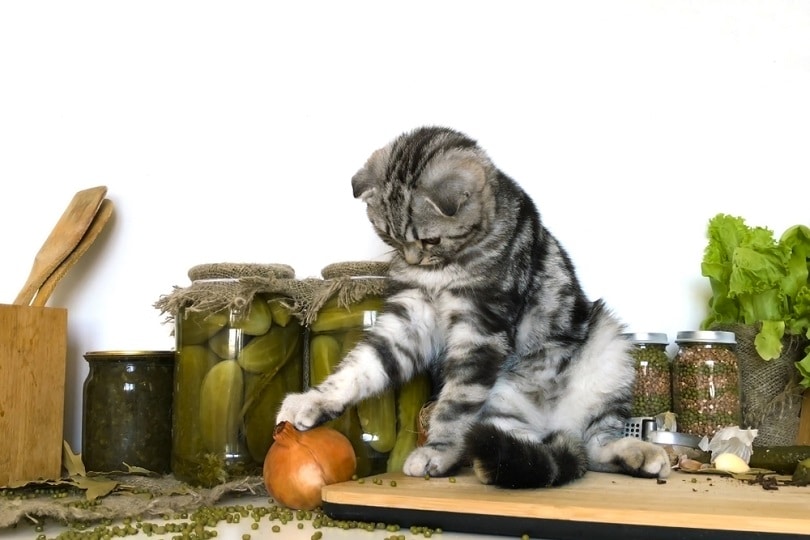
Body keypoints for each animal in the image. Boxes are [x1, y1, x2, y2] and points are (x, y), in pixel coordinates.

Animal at [278, 126, 668, 490]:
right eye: (388, 236)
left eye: (430, 240)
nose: (411, 259)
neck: (442, 271)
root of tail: (555, 426)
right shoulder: (411, 317)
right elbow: (363, 365)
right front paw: (314, 401)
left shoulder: (481, 327)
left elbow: (455, 402)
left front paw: (438, 450)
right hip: (502, 406)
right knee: (533, 450)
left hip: (608, 344)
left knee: (596, 442)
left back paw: (638, 453)